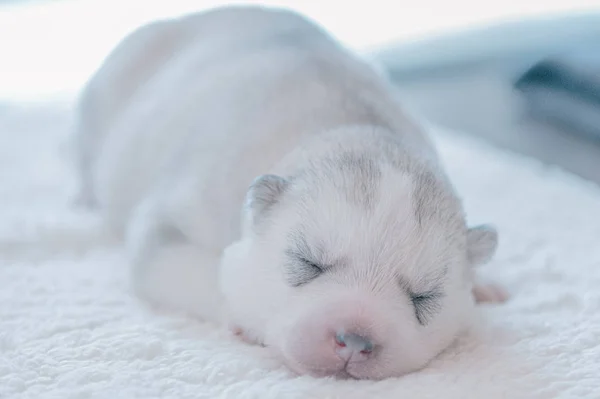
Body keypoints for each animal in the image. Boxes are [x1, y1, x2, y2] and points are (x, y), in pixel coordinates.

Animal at [74, 6, 506, 382]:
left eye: (424, 297)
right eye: (307, 263)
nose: (354, 341)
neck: (354, 133)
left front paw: (482, 282)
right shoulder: (176, 216)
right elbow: (196, 268)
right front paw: (244, 316)